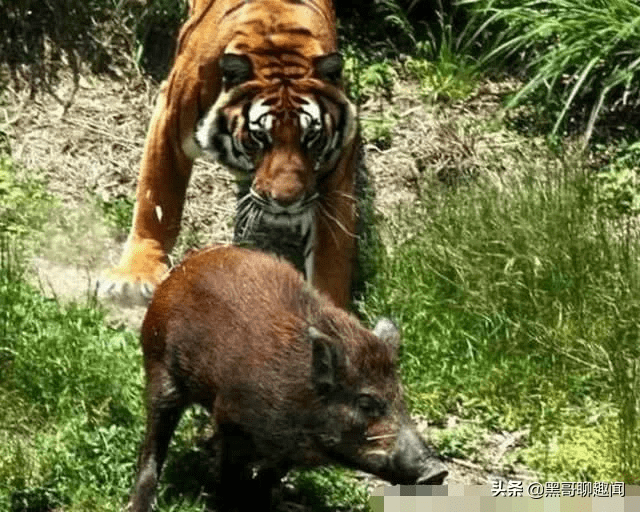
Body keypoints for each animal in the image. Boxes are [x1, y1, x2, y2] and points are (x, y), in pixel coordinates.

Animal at [97, 0, 364, 309]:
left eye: (311, 138)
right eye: (260, 137)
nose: (287, 202)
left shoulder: (336, 169)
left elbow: (331, 257)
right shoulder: (170, 117)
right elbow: (157, 200)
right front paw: (134, 277)